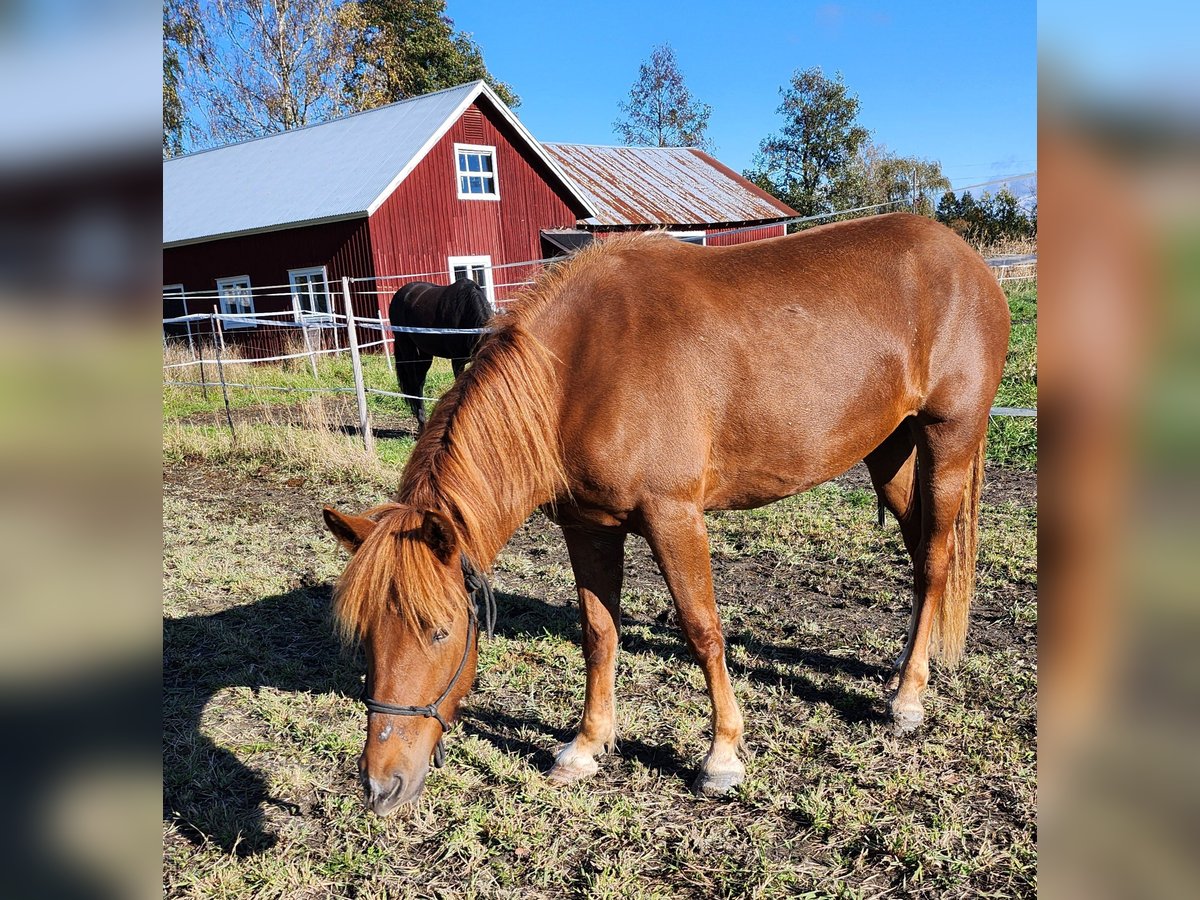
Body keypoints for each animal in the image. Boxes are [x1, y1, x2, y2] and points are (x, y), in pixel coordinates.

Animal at [388, 277, 492, 432]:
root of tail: (400, 293)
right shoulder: (457, 361)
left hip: (424, 354)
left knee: (420, 383)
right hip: (407, 347)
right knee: (414, 384)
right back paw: (422, 423)